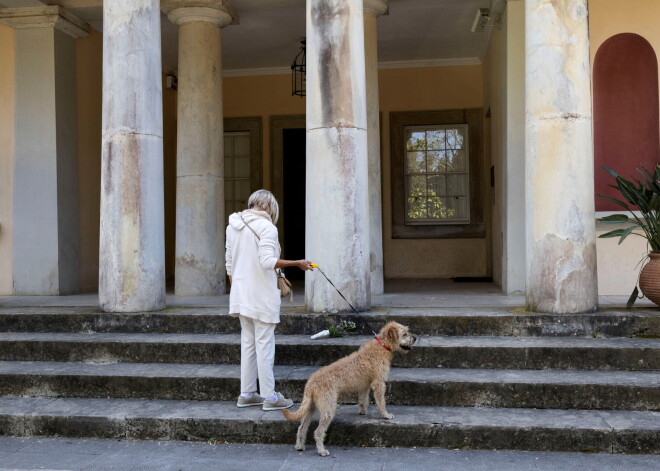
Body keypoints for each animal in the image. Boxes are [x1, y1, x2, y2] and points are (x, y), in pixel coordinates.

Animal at [282, 322, 416, 456]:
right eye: (404, 334)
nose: (415, 338)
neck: (382, 345)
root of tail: (311, 382)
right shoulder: (379, 383)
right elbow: (381, 402)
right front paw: (386, 415)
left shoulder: (364, 386)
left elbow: (363, 400)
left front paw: (362, 412)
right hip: (328, 408)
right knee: (318, 431)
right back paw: (322, 450)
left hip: (310, 407)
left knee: (302, 427)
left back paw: (300, 446)